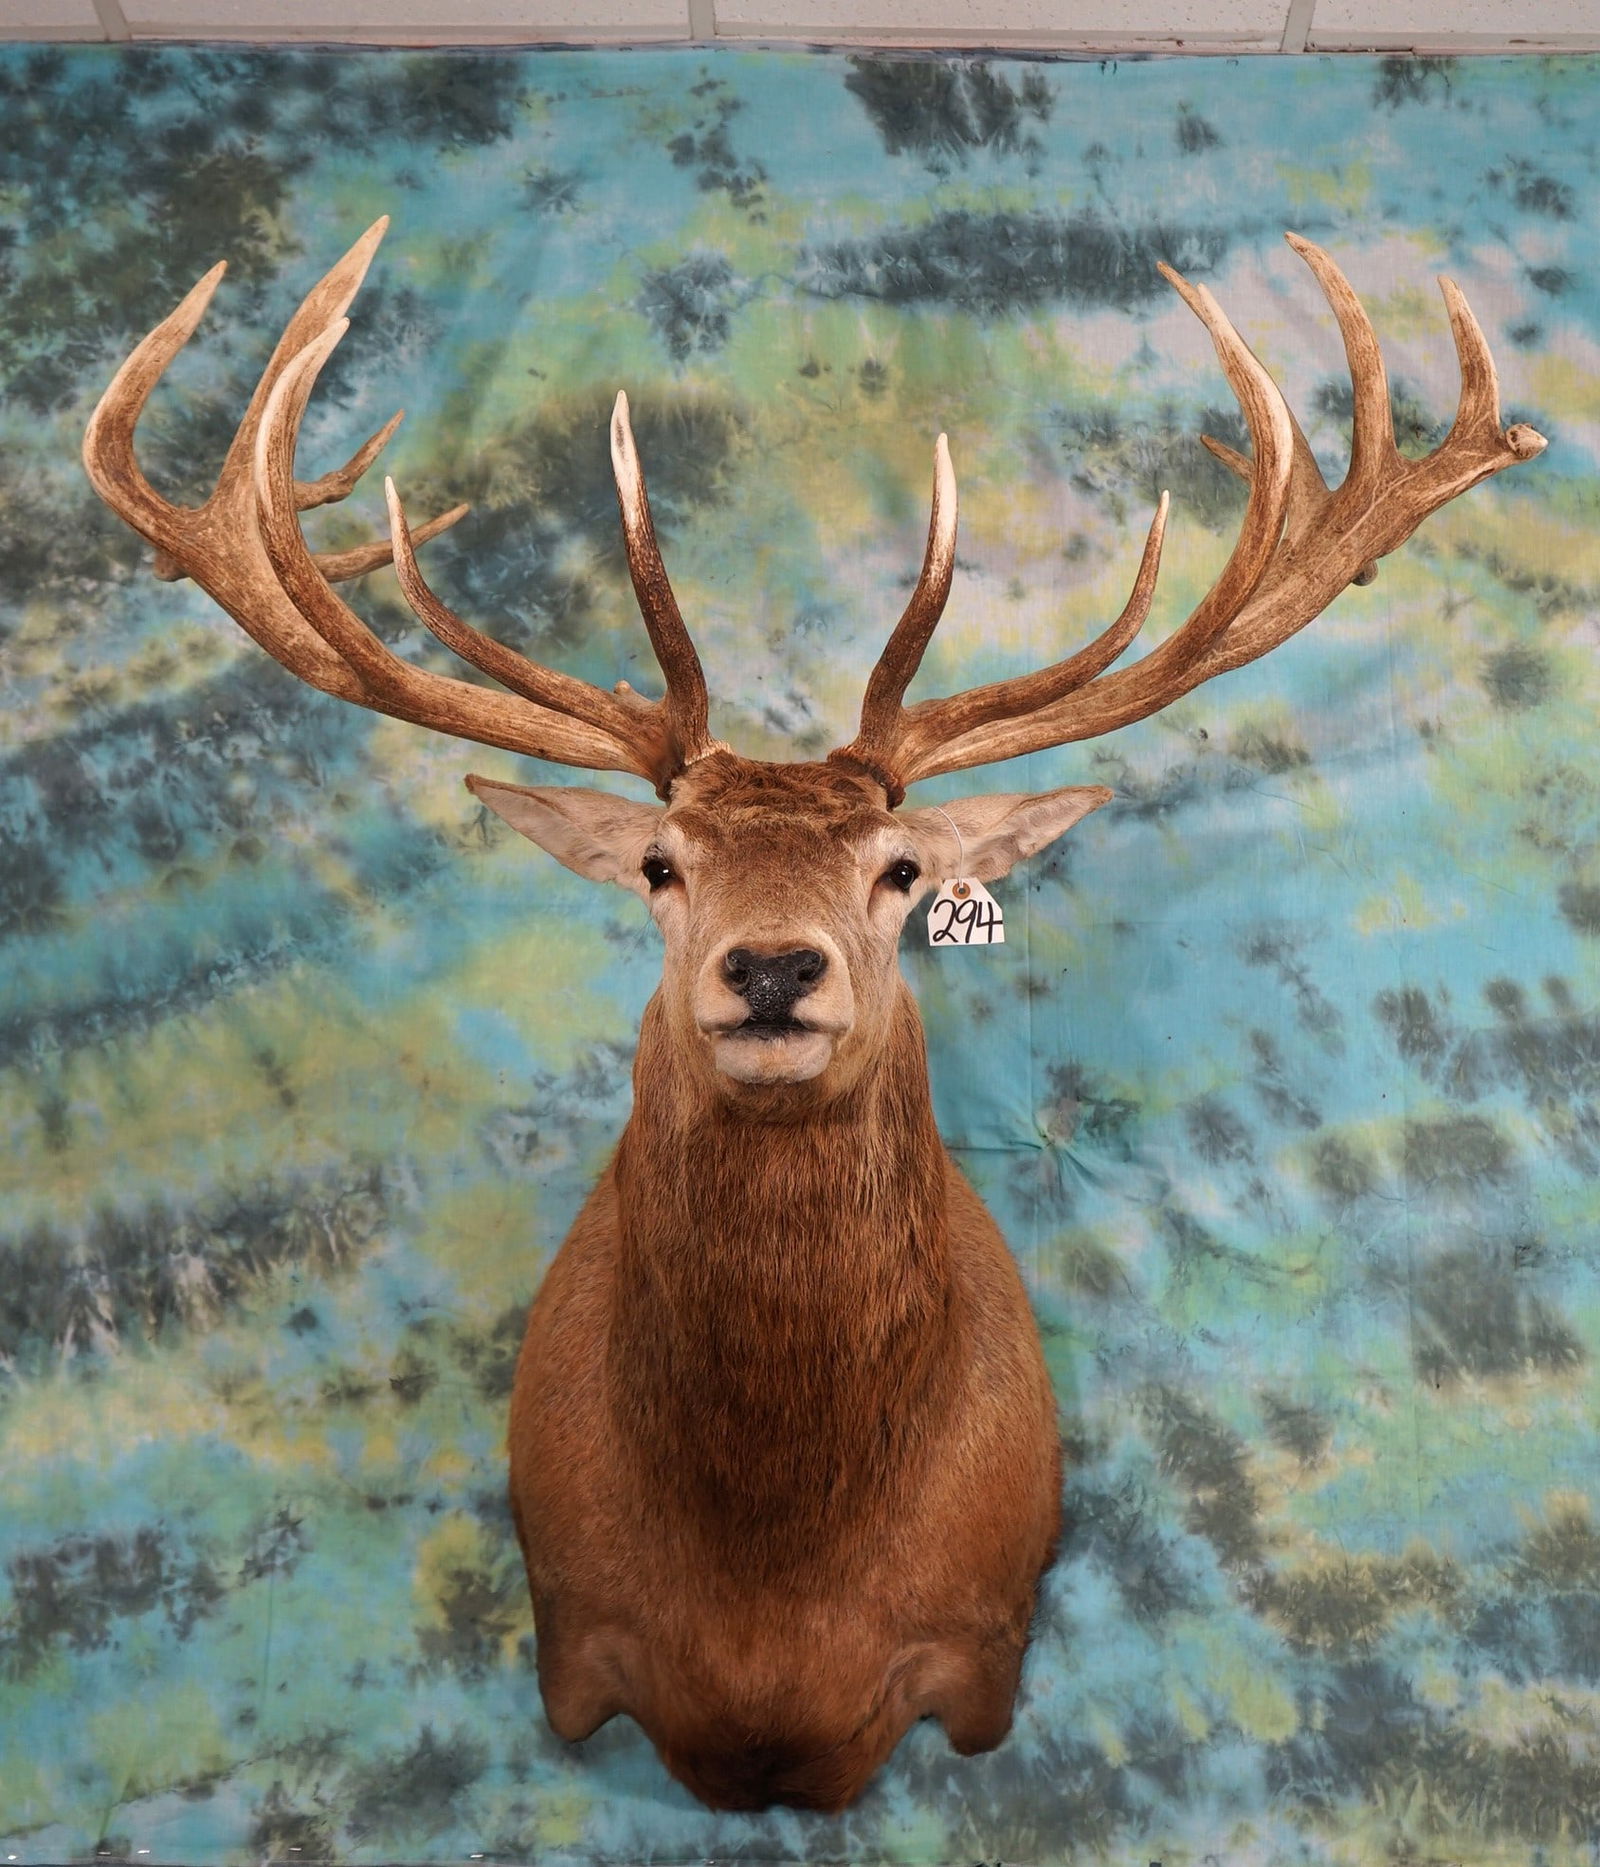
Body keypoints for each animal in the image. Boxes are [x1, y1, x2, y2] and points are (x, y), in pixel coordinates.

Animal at [83, 218, 1544, 1812]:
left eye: (900, 870)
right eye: (659, 865)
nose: (775, 968)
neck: (776, 1605)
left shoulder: (984, 1643)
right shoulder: (572, 1632)